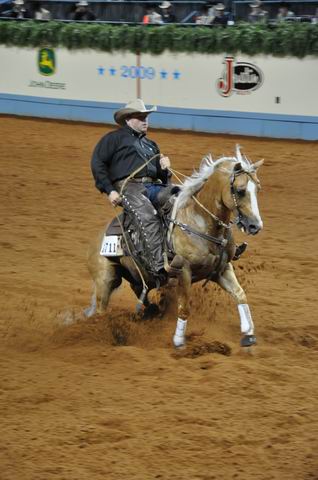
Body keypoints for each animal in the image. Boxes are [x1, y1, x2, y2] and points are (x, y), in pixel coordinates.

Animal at [85, 146, 262, 348]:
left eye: (257, 188)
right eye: (240, 190)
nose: (255, 226)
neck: (199, 221)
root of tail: (98, 239)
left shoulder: (222, 269)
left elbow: (240, 294)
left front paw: (248, 334)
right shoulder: (183, 271)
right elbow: (184, 308)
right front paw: (178, 341)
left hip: (139, 277)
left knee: (140, 293)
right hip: (105, 279)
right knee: (101, 311)